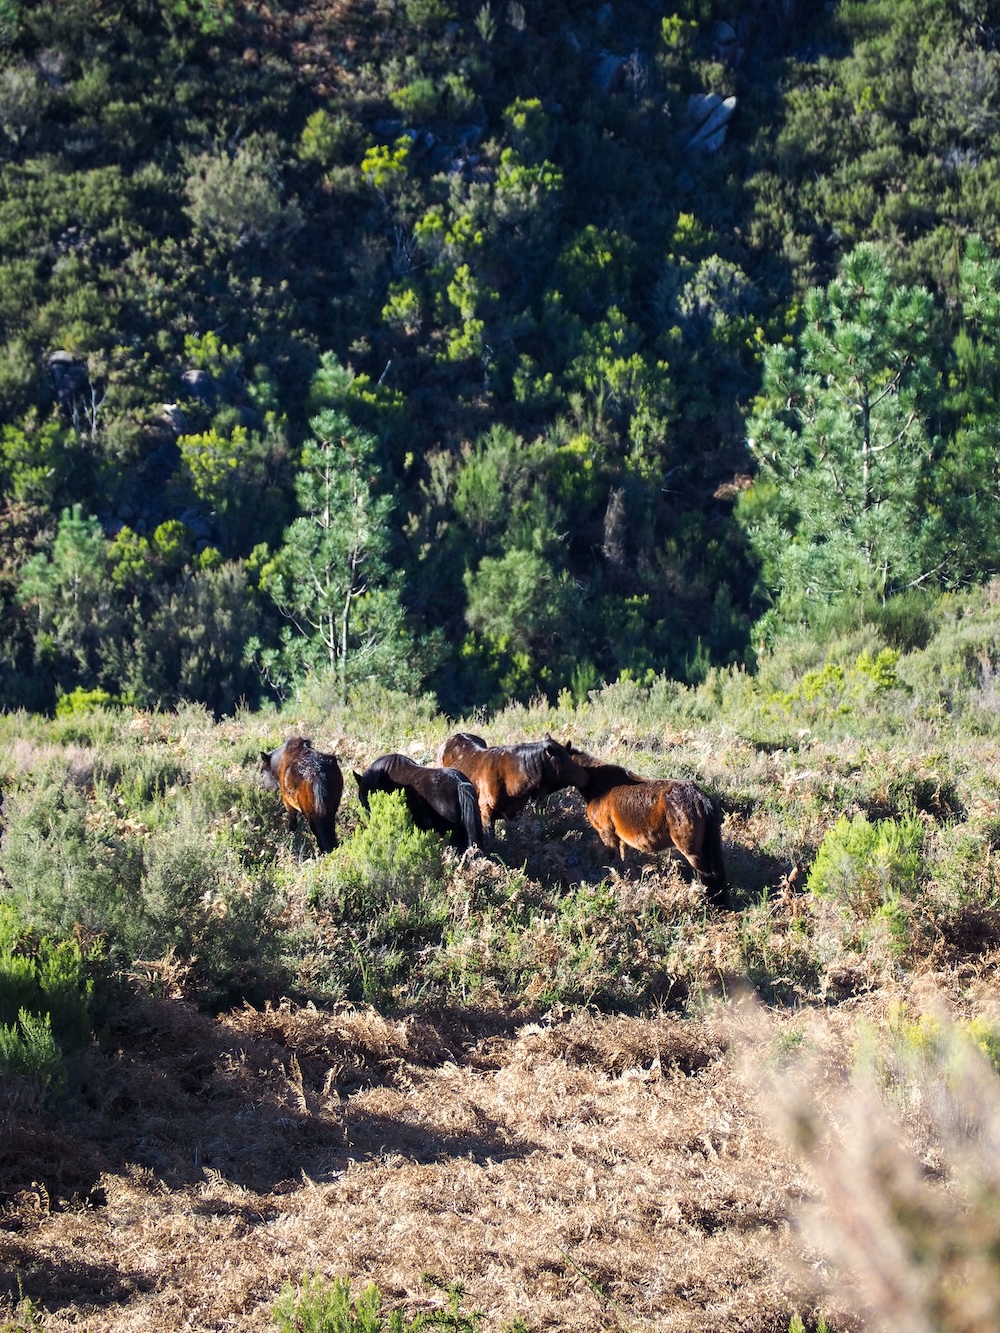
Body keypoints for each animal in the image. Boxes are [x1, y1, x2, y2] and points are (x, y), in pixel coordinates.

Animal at [568, 751, 730, 906]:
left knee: (709, 876)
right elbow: (623, 861)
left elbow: (612, 862)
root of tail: (701, 798)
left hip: (692, 851)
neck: (600, 785)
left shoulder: (607, 834)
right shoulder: (621, 839)